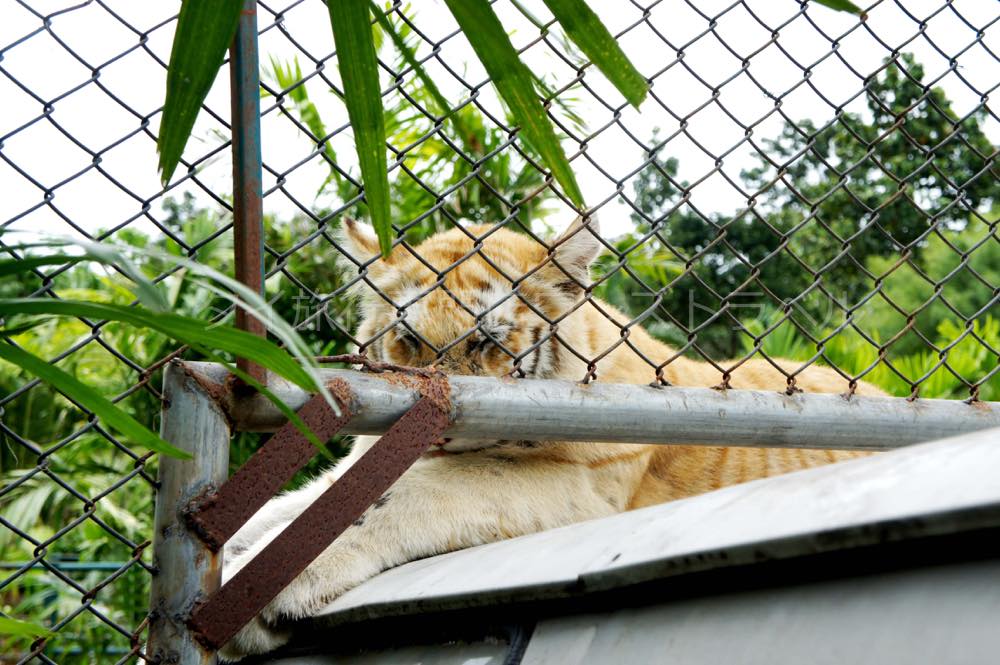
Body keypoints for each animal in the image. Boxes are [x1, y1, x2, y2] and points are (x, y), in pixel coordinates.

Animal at [221, 218, 884, 660]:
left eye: (488, 342)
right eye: (408, 340)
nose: (434, 432)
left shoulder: (578, 488)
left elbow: (390, 500)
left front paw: (250, 589)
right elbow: (295, 503)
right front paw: (228, 554)